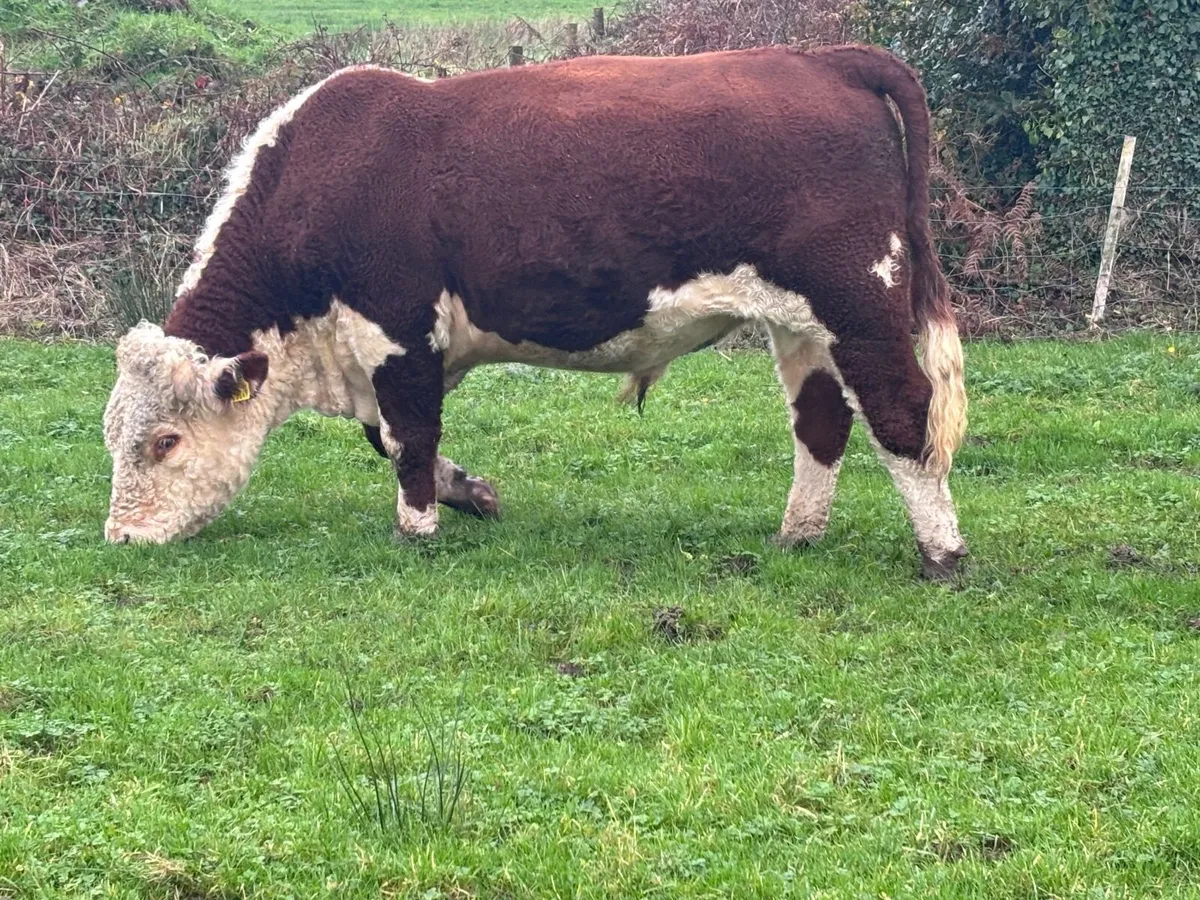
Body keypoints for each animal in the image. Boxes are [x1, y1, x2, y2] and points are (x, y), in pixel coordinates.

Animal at [102, 44, 969, 578]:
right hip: (799, 323)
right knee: (822, 421)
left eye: (164, 441)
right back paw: (797, 535)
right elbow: (389, 439)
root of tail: (821, 57)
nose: (120, 539)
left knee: (903, 411)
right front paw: (473, 493)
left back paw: (942, 553)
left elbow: (407, 439)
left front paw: (417, 528)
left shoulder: (396, 329)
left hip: (858, 299)